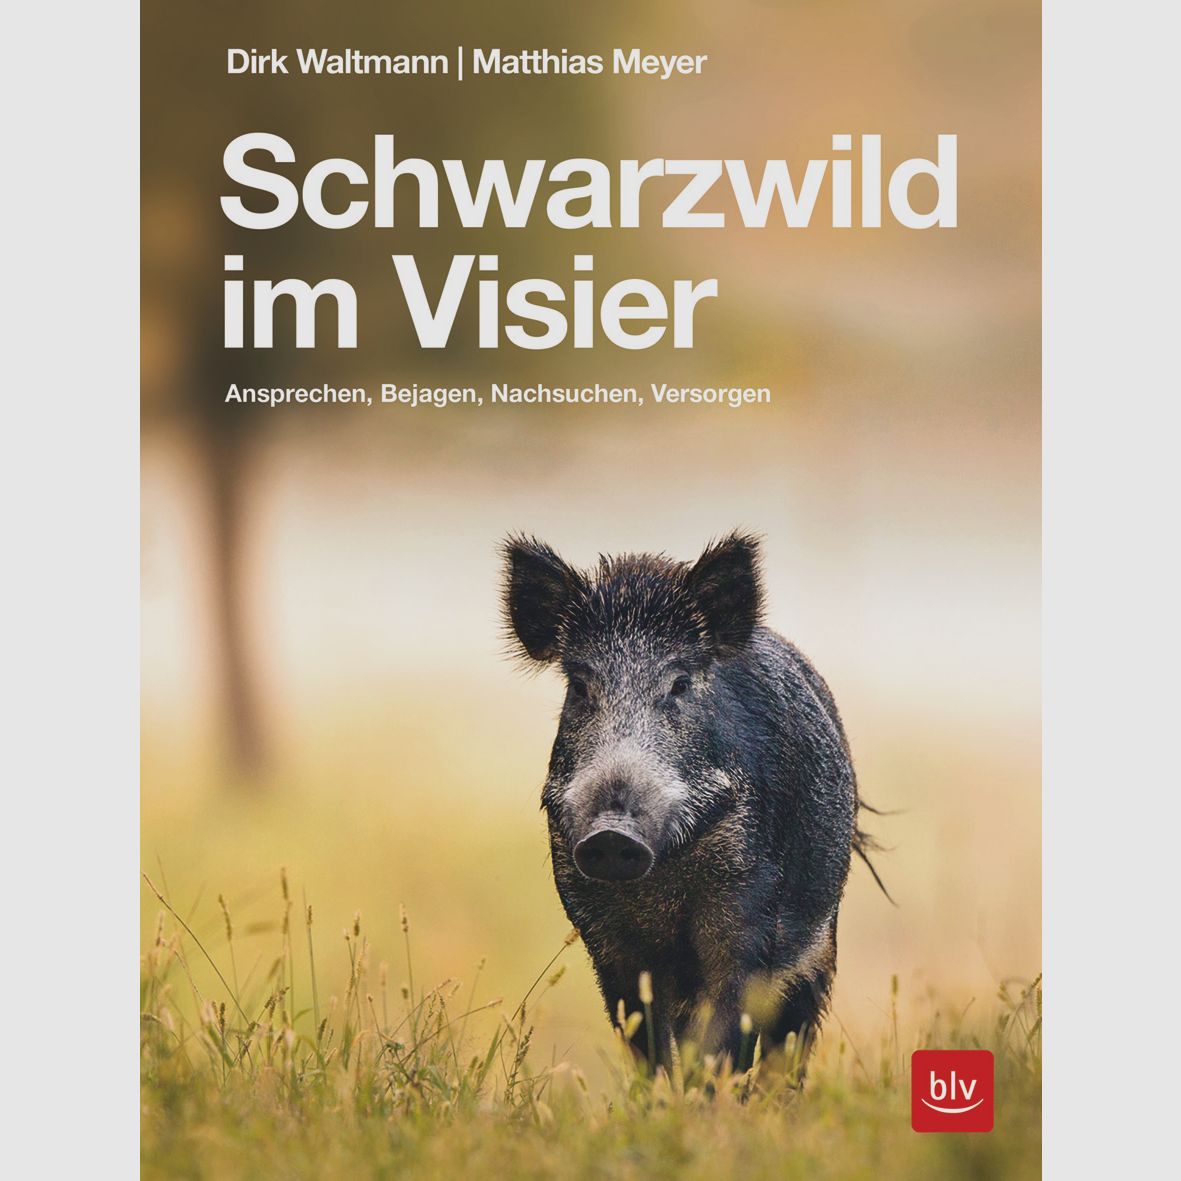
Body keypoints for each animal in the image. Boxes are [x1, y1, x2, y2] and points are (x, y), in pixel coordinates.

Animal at [501, 531, 884, 1073]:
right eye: (579, 687)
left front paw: (711, 1089)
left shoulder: (749, 912)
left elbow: (726, 1037)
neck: (662, 879)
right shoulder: (602, 934)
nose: (612, 833)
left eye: (679, 684)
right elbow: (646, 1039)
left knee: (790, 1042)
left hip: (818, 949)